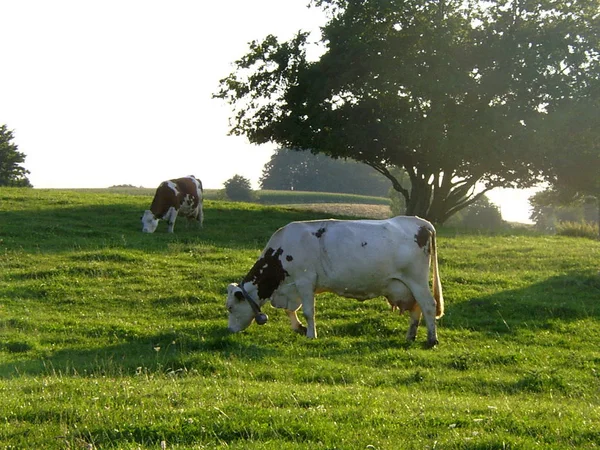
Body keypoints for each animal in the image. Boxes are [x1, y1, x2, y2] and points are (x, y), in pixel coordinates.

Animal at [227, 216, 442, 346]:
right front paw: (299, 328)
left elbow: (308, 311)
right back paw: (410, 337)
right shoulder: (292, 288)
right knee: (416, 308)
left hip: (417, 280)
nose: (229, 330)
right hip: (408, 286)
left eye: (230, 307)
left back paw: (431, 340)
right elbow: (290, 310)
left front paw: (311, 334)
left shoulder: (305, 281)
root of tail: (421, 222)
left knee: (428, 305)